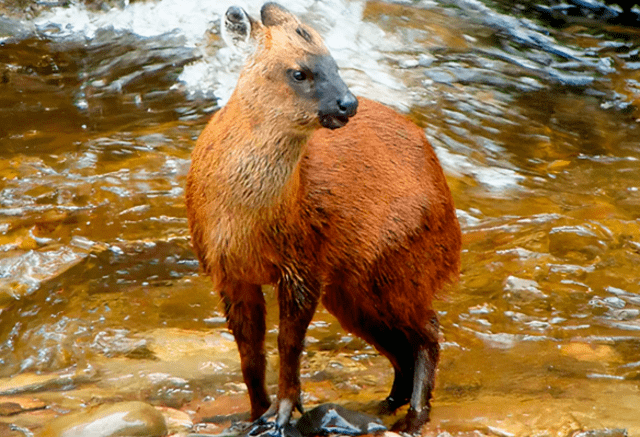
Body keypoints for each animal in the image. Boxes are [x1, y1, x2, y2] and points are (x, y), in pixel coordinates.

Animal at [185, 2, 460, 432]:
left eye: (335, 62)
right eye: (299, 71)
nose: (349, 104)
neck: (246, 219)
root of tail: (454, 234)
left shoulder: (304, 263)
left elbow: (288, 343)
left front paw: (281, 413)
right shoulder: (226, 269)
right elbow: (249, 353)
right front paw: (253, 415)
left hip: (402, 266)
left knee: (428, 333)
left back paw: (414, 417)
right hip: (354, 290)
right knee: (399, 344)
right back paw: (386, 404)